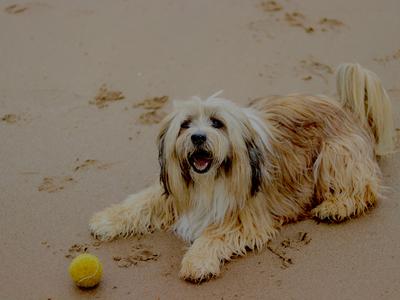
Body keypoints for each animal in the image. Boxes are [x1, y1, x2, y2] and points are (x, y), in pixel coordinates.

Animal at [88, 63, 396, 282]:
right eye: (186, 124)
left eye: (217, 123)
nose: (198, 137)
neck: (208, 181)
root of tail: (347, 108)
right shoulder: (173, 192)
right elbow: (139, 202)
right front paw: (106, 220)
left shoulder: (244, 214)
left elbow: (214, 234)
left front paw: (197, 261)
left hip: (335, 155)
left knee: (365, 189)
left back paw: (336, 206)